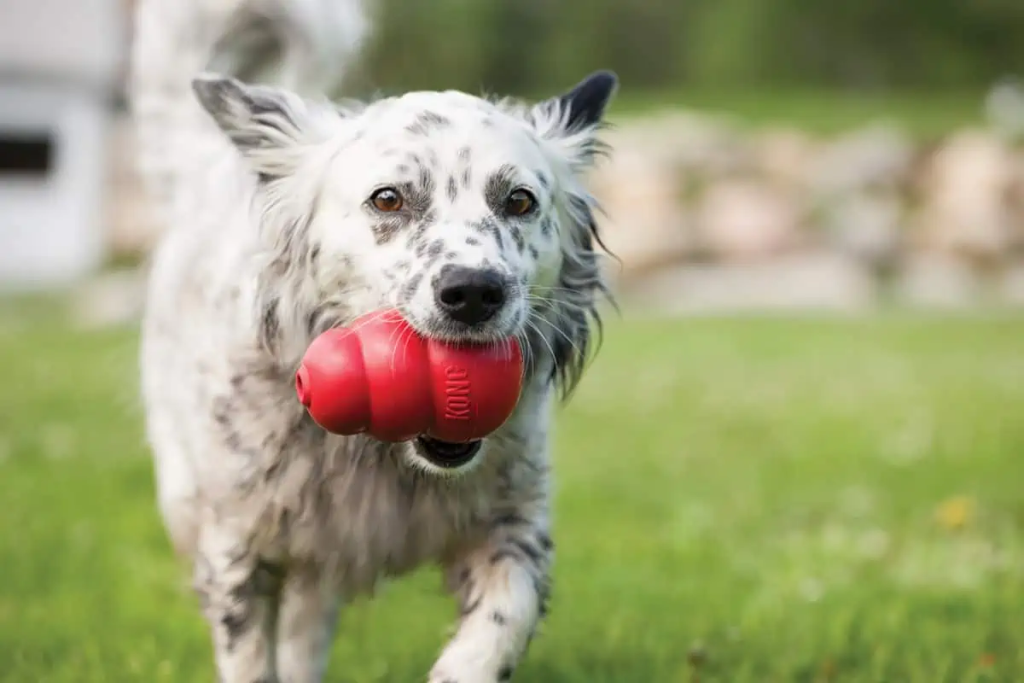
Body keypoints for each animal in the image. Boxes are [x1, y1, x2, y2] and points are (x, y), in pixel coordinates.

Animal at [132, 1, 618, 683]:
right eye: (388, 199)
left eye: (520, 201)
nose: (474, 291)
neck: (382, 456)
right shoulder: (237, 551)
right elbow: (248, 655)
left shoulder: (511, 528)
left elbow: (502, 622)